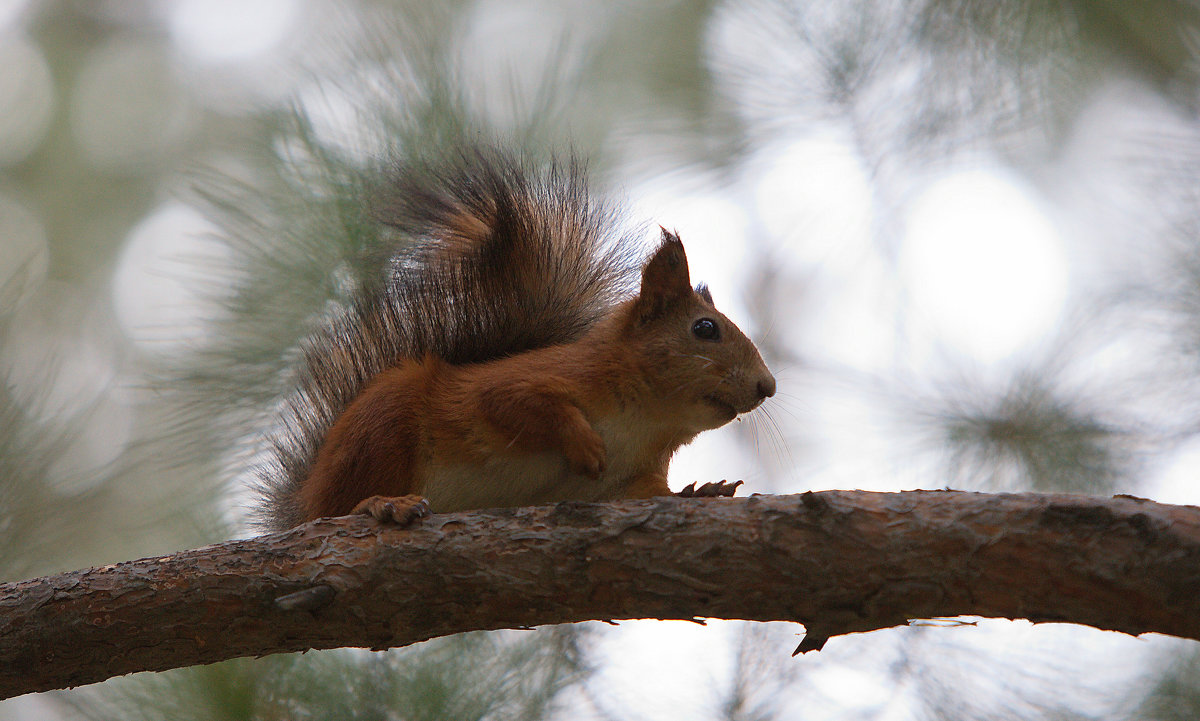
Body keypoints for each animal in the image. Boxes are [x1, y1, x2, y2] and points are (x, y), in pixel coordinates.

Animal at [256, 146, 772, 527]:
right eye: (705, 329)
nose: (767, 387)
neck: (646, 419)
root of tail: (302, 502)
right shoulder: (521, 383)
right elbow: (519, 403)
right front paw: (584, 443)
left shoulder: (634, 478)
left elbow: (651, 495)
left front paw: (703, 492)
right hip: (383, 429)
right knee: (341, 507)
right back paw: (383, 503)